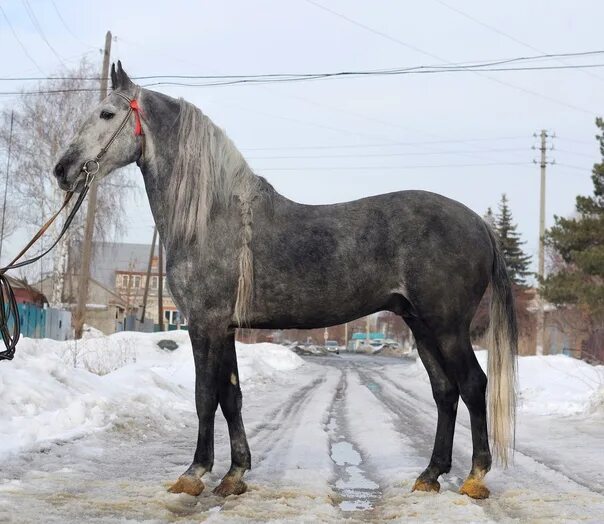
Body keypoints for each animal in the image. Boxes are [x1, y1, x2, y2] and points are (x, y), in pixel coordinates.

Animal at [54, 63, 516, 502]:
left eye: (106, 113)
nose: (63, 170)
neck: (213, 218)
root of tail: (479, 224)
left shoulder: (205, 324)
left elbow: (205, 396)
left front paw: (194, 473)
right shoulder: (226, 328)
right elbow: (231, 397)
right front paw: (235, 474)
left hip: (447, 327)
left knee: (473, 385)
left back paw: (475, 477)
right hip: (420, 325)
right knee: (445, 391)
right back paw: (430, 475)